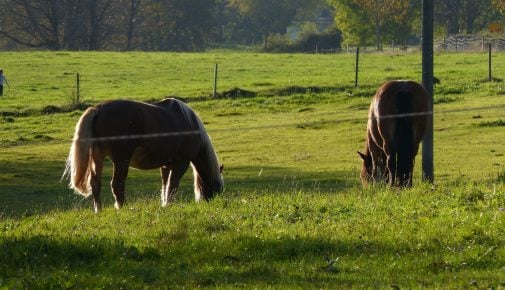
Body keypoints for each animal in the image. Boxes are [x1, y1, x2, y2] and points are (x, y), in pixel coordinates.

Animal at [62, 98, 222, 213]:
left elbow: (165, 186)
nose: (214, 203)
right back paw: (122, 207)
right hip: (121, 159)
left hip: (98, 156)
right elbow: (172, 185)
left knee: (96, 184)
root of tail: (98, 110)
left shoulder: (166, 165)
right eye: (218, 187)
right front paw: (168, 205)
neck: (190, 124)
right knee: (117, 184)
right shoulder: (181, 163)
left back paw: (99, 211)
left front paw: (164, 204)